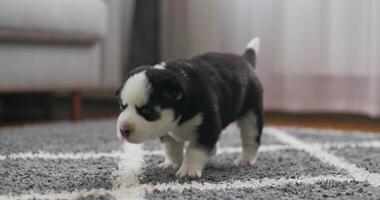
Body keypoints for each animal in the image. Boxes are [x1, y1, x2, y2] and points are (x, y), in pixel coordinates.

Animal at [116, 38, 264, 178]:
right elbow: (171, 147)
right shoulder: (167, 130)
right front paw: (172, 164)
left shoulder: (206, 126)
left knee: (251, 139)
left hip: (251, 115)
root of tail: (244, 59)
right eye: (122, 107)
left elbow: (194, 151)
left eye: (147, 110)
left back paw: (245, 160)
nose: (123, 130)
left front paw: (188, 171)